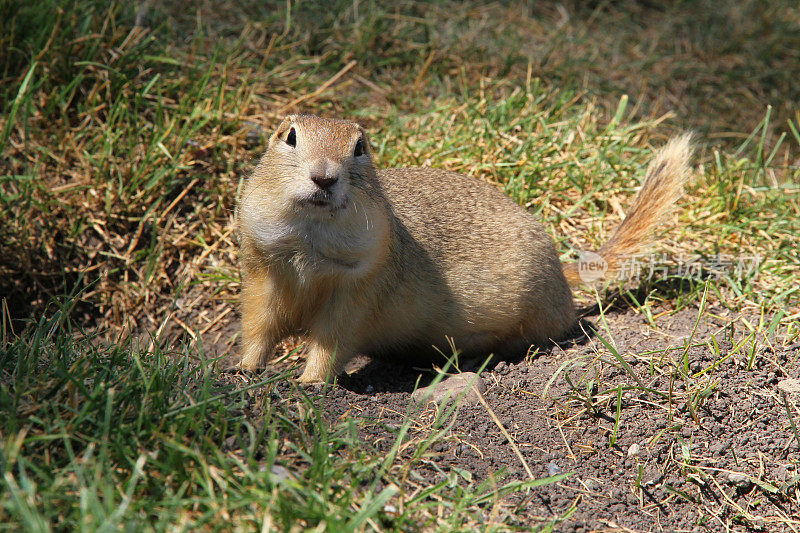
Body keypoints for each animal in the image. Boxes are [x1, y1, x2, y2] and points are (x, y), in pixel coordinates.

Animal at [238, 115, 692, 382]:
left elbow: (332, 339)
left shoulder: (358, 286)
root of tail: (564, 277)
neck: (310, 239)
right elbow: (259, 324)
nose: (325, 177)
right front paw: (243, 369)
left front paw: (309, 382)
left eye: (360, 148)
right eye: (289, 136)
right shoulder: (264, 268)